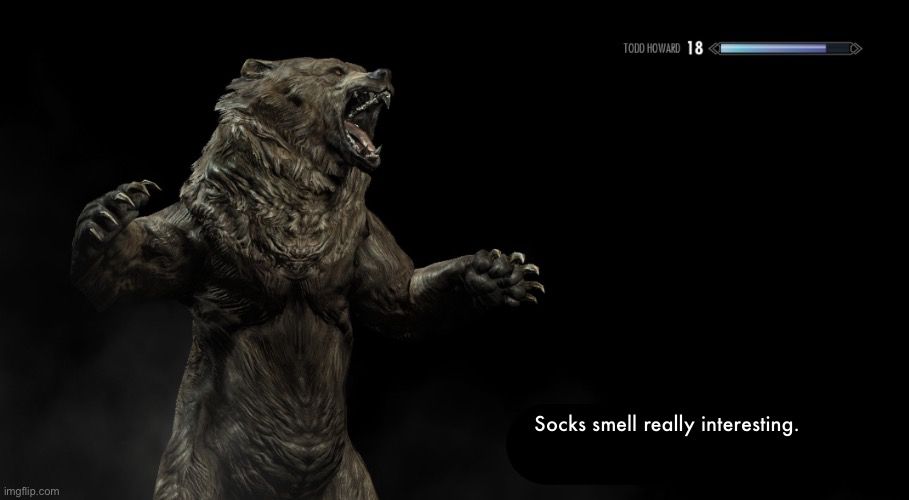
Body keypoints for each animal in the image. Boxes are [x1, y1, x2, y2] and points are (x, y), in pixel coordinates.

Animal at [70, 57, 543, 499]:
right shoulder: (202, 229)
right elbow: (137, 265)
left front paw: (500, 272)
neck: (299, 196)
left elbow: (399, 300)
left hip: (350, 482)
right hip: (197, 470)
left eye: (357, 65)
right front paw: (108, 216)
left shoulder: (361, 235)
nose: (383, 72)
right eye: (335, 70)